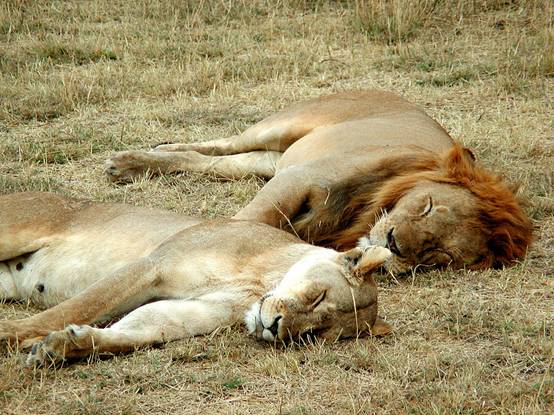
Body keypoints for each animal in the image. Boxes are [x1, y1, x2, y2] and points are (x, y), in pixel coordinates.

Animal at [0, 193, 390, 368]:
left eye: (312, 335)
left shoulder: (195, 311)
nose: (275, 327)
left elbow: (140, 330)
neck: (258, 283)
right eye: (317, 296)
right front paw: (12, 334)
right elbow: (78, 306)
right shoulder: (151, 265)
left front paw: (64, 346)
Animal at [103, 89, 532, 274]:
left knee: (214, 162)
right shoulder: (298, 178)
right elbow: (249, 220)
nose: (394, 244)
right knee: (219, 143)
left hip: (268, 160)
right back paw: (130, 160)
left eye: (439, 255)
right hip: (281, 128)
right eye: (427, 205)